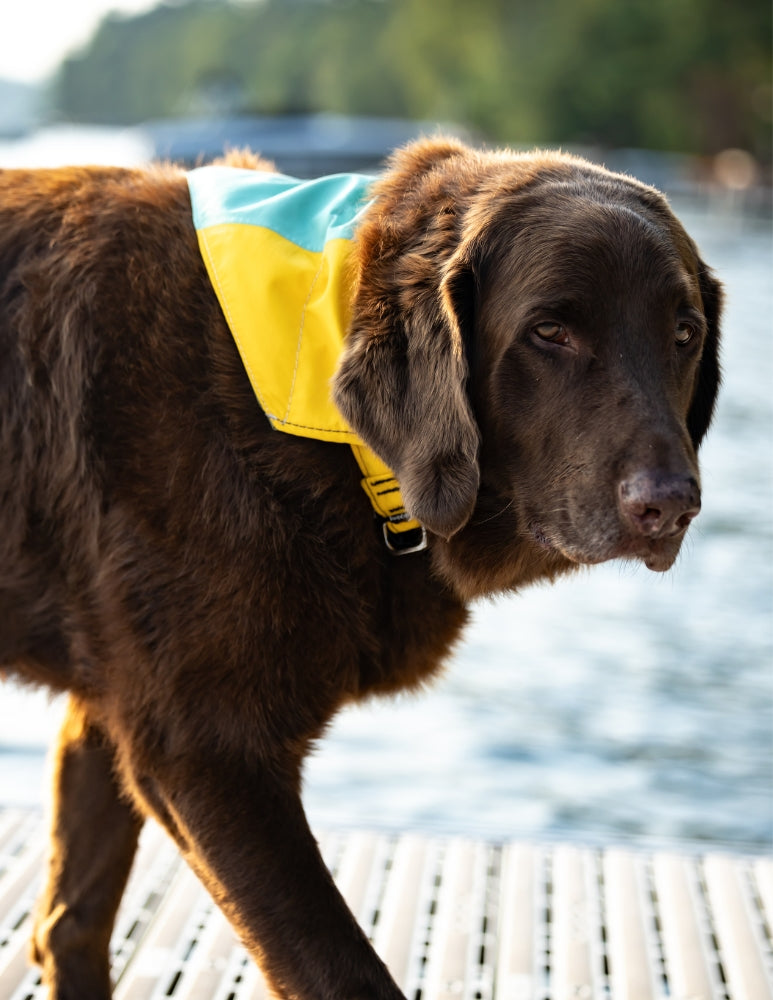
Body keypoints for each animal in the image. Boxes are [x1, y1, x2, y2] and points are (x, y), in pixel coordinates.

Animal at [1, 143, 724, 1000]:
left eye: (682, 333)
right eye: (549, 331)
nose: (671, 505)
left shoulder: (116, 714)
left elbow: (69, 922)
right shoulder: (207, 748)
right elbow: (342, 972)